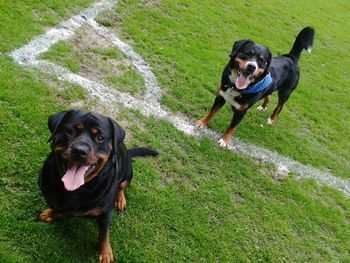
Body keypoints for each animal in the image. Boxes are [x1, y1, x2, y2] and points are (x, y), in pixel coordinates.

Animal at [38, 110, 159, 262]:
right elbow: (56, 206)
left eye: (100, 137)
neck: (77, 189)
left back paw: (120, 200)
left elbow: (104, 235)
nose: (79, 151)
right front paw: (51, 213)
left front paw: (105, 252)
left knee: (122, 186)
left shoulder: (105, 214)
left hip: (127, 172)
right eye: (70, 131)